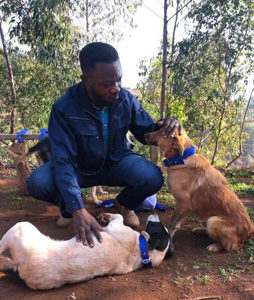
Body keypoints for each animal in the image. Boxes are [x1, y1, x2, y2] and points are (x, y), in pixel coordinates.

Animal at [0, 212, 174, 290]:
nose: (155, 212)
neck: (144, 252)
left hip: (20, 227)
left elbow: (118, 215)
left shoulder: (114, 227)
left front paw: (106, 215)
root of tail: (22, 272)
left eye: (155, 226)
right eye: (159, 226)